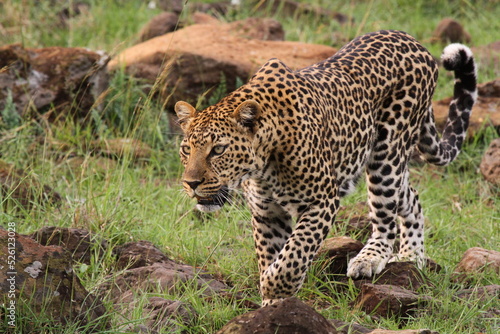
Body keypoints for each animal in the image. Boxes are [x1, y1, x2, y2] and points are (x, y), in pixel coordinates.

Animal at [175, 30, 476, 306]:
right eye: (186, 149)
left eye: (218, 150)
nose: (191, 183)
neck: (264, 164)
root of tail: (412, 40)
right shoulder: (266, 212)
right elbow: (273, 256)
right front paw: (273, 306)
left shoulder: (322, 201)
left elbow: (293, 255)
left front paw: (274, 291)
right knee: (411, 198)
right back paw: (412, 256)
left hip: (387, 155)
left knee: (385, 218)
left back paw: (370, 259)